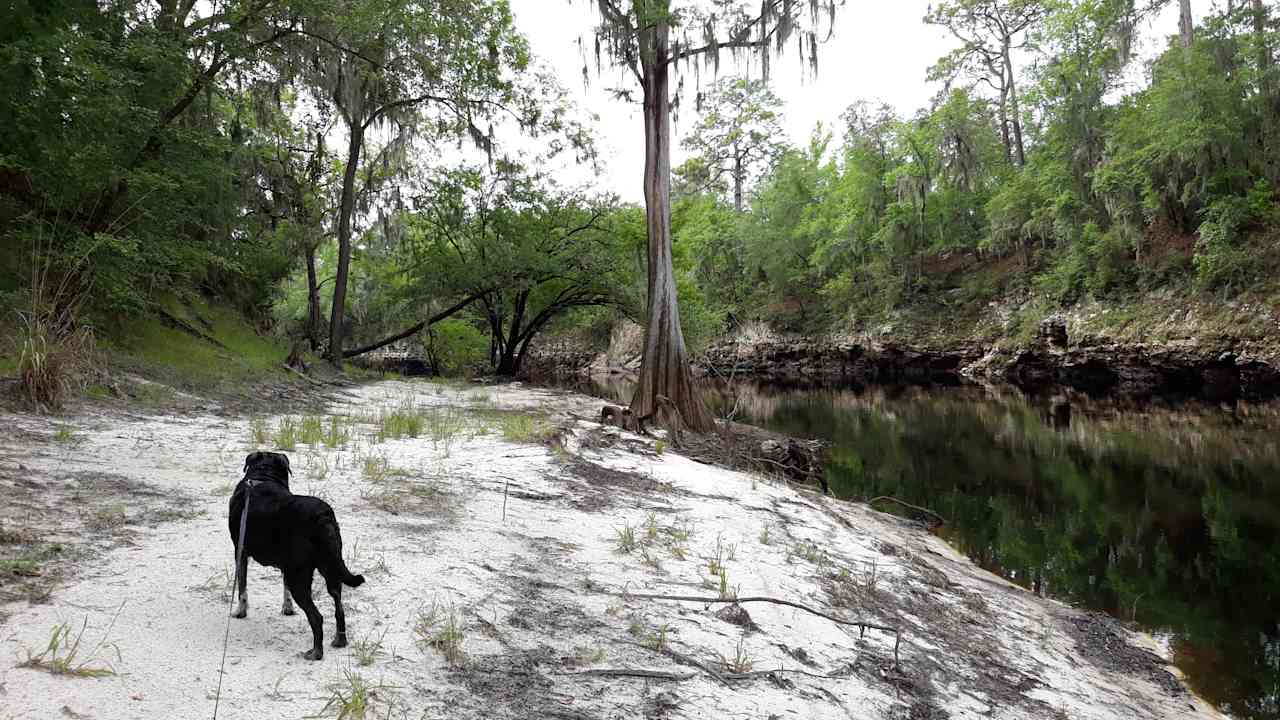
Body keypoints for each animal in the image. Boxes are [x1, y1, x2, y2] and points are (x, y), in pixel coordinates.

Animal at [229, 450, 366, 661]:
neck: (263, 476)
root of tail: (323, 516)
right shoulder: (286, 564)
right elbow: (284, 589)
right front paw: (287, 609)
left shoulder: (240, 551)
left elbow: (242, 587)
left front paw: (240, 611)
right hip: (330, 567)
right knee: (339, 606)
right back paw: (340, 639)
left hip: (300, 577)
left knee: (316, 617)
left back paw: (316, 652)